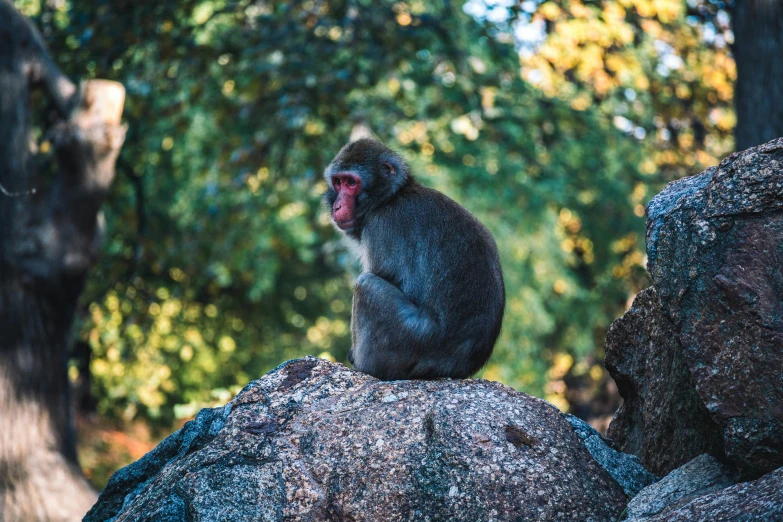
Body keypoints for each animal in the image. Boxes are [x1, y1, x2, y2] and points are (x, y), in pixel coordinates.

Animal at [322, 138, 506, 378]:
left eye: (351, 183)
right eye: (338, 182)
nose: (337, 206)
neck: (391, 197)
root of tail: (449, 368)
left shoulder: (382, 227)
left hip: (410, 338)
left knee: (367, 285)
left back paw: (366, 366)